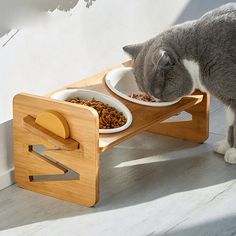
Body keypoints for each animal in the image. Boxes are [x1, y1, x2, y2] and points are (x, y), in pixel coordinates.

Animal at [123, 2, 236, 163]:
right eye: (147, 93)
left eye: (159, 93)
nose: (156, 100)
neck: (199, 56)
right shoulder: (228, 98)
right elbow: (230, 121)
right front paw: (226, 146)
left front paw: (234, 153)